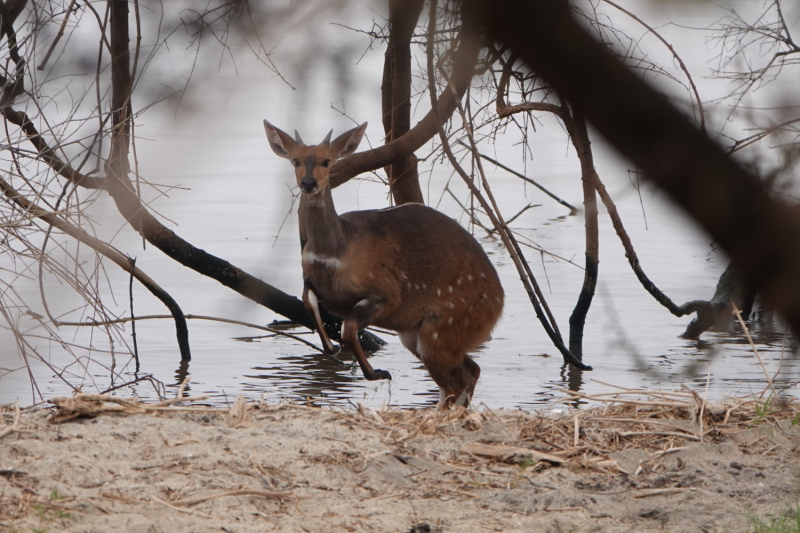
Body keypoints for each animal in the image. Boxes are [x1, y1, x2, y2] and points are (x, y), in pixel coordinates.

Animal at [266, 120, 504, 408]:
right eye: (295, 160)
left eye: (326, 161)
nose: (308, 183)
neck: (336, 253)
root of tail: (499, 303)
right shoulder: (314, 284)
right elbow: (308, 302)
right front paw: (332, 348)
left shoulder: (386, 294)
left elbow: (348, 328)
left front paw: (380, 373)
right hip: (416, 336)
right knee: (469, 371)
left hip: (438, 330)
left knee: (454, 382)